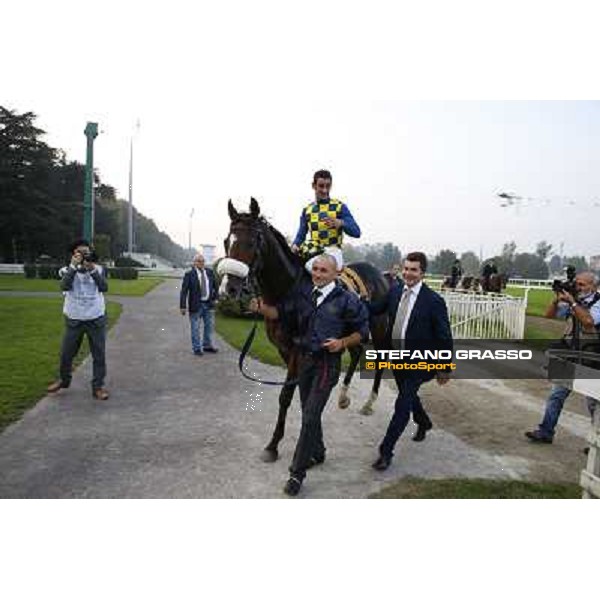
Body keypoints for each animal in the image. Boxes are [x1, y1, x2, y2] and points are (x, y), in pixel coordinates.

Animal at [219, 199, 390, 462]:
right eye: (227, 241)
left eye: (252, 242)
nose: (229, 288)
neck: (288, 290)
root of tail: (380, 274)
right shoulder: (284, 349)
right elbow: (300, 392)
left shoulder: (298, 349)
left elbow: (287, 395)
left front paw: (273, 445)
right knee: (356, 352)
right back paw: (343, 397)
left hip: (379, 328)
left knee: (380, 360)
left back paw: (369, 403)